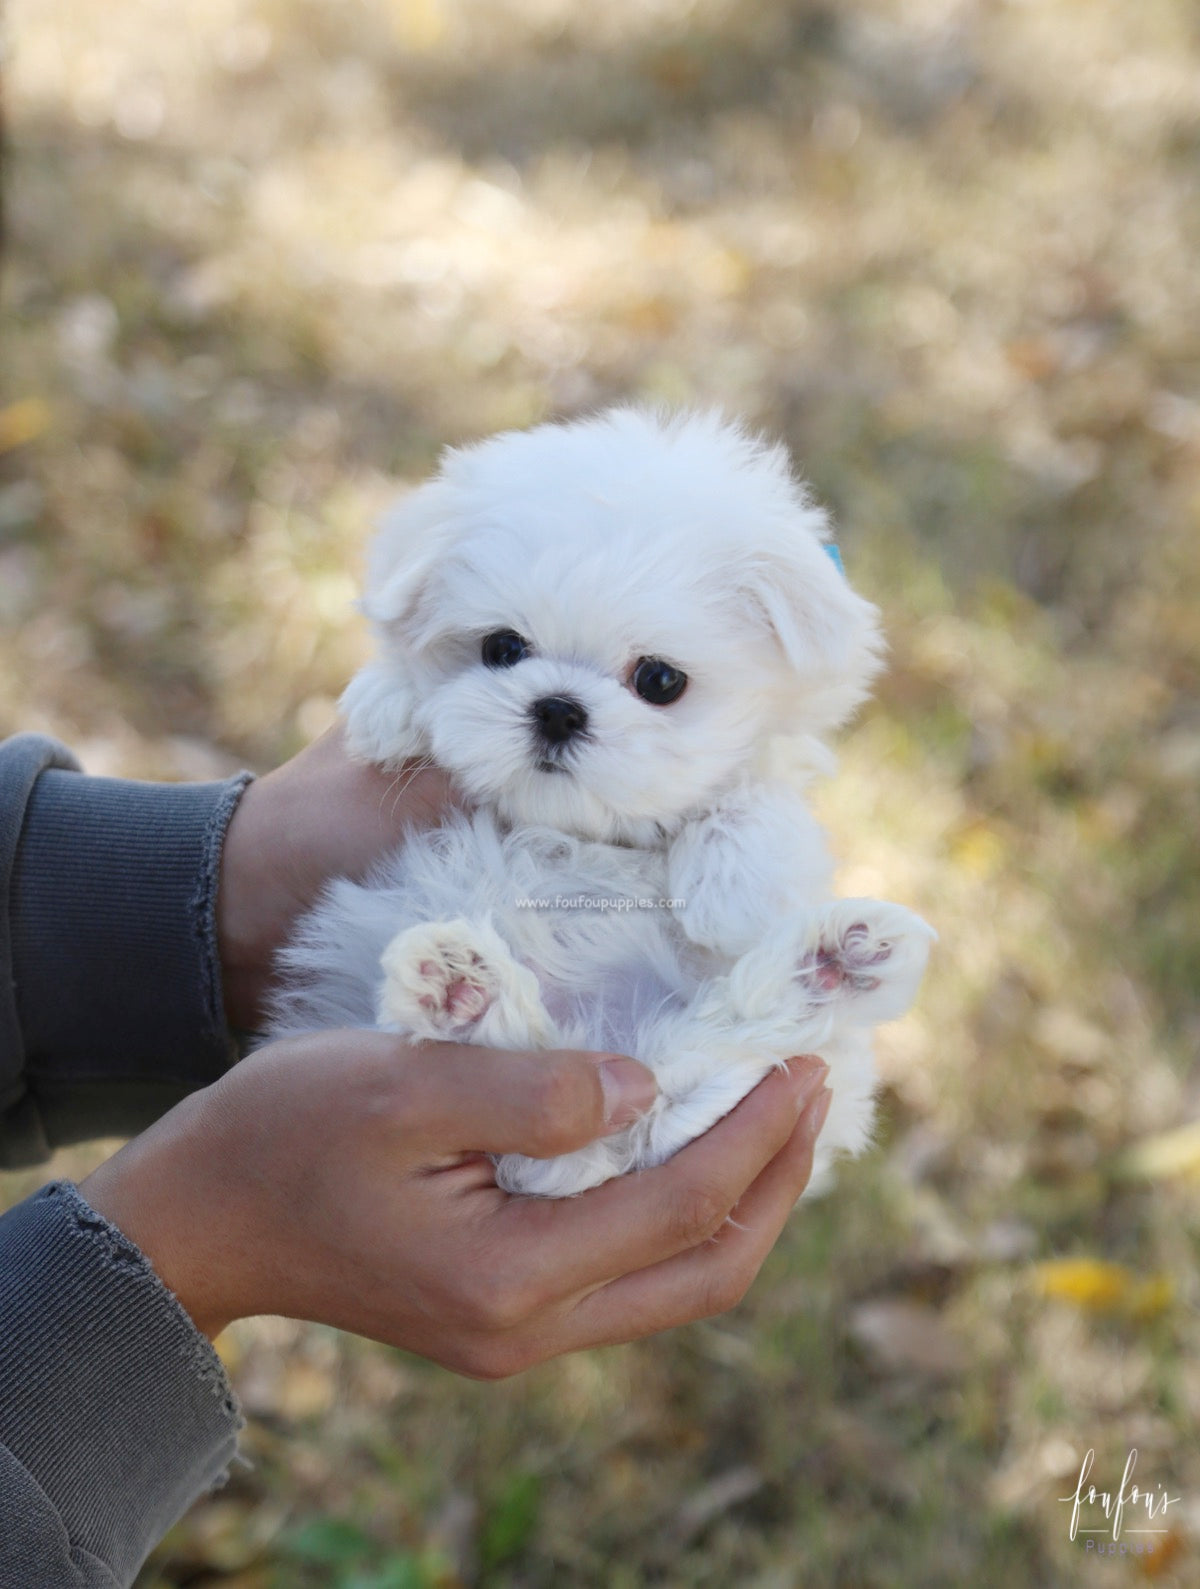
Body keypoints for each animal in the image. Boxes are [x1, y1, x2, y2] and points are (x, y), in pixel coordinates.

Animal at [267, 406, 934, 1194]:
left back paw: (841, 959)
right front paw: (390, 704)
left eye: (660, 680)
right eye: (501, 648)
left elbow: (756, 785)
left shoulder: (779, 759)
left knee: (721, 1050)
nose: (557, 709)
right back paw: (461, 987)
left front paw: (733, 885)